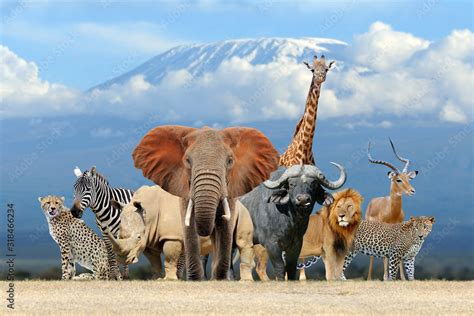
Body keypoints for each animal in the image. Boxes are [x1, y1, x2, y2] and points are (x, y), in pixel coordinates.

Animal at [107, 184, 256, 280]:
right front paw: (155, 279)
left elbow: (169, 259)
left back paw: (245, 281)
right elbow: (154, 262)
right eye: (119, 236)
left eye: (138, 237)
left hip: (242, 211)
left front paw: (168, 280)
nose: (123, 260)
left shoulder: (171, 237)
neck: (148, 212)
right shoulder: (149, 240)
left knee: (243, 243)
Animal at [131, 125, 278, 278]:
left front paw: (220, 279)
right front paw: (195, 279)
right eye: (187, 160)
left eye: (230, 161)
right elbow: (190, 227)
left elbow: (224, 228)